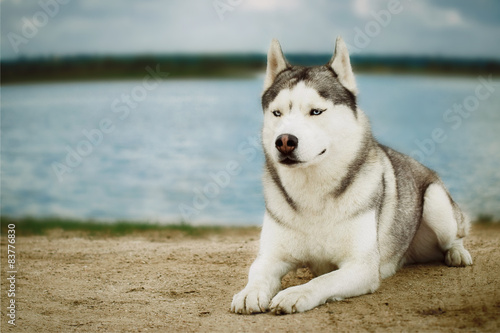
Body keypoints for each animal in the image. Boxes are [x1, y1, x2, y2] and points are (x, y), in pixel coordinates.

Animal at [230, 37, 472, 314]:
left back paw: (457, 253)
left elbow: (322, 280)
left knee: (455, 235)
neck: (312, 192)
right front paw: (250, 292)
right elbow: (257, 272)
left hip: (436, 202)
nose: (284, 142)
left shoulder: (361, 267)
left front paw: (296, 293)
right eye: (277, 113)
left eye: (316, 111)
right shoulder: (271, 257)